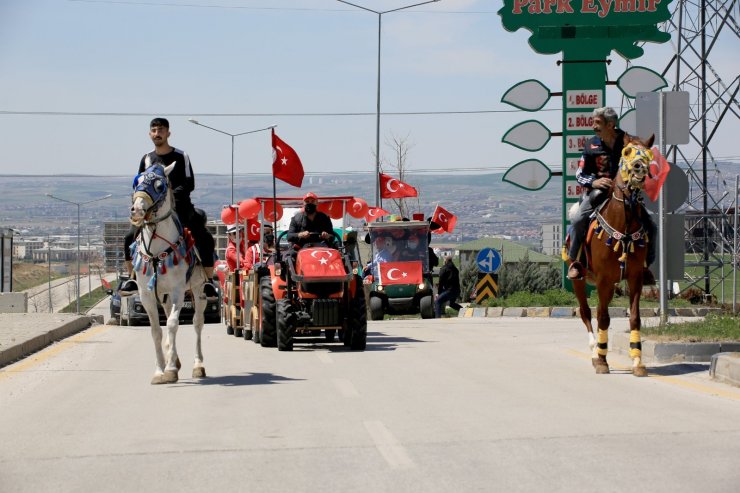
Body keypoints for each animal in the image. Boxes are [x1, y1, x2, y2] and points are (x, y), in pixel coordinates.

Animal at [130, 163, 208, 382]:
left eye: (159, 185)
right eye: (136, 182)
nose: (137, 210)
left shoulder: (177, 291)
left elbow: (173, 324)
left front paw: (171, 369)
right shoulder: (146, 294)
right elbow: (156, 330)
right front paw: (160, 370)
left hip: (198, 288)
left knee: (197, 322)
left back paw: (198, 366)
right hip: (162, 294)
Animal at [572, 133, 652, 374]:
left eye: (649, 154)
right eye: (627, 152)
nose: (639, 168)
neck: (622, 224)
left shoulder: (635, 277)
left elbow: (634, 317)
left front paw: (637, 361)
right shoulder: (603, 279)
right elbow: (603, 317)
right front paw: (601, 360)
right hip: (580, 280)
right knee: (586, 312)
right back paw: (593, 350)